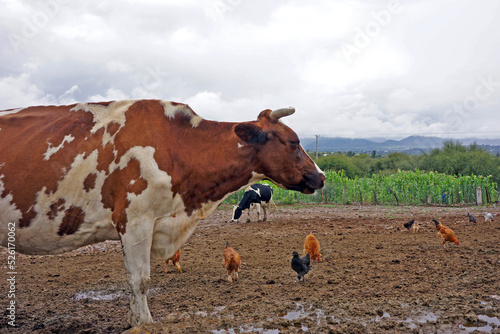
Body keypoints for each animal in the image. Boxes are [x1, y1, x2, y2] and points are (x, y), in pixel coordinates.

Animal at [0, 99, 326, 326]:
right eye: (294, 141)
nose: (321, 176)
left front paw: (133, 320)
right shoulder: (135, 221)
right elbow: (140, 280)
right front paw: (143, 322)